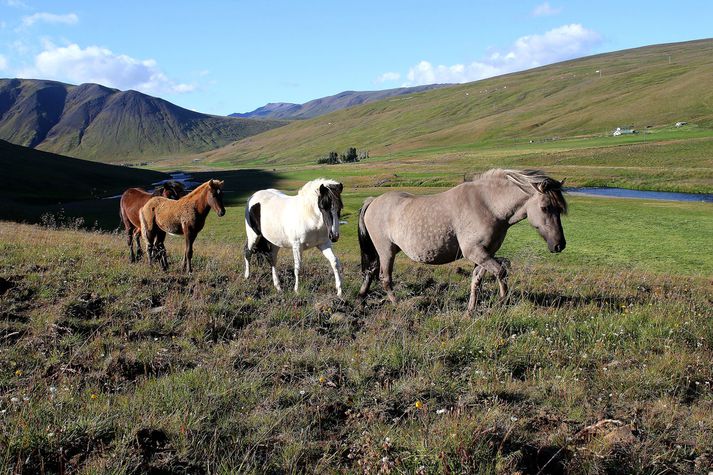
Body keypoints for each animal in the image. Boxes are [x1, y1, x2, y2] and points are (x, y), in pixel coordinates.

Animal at [356, 169, 568, 314]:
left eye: (559, 208)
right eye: (545, 207)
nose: (559, 245)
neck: (488, 205)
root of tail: (373, 201)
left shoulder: (484, 254)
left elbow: (477, 280)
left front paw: (470, 311)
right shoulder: (474, 251)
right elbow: (501, 272)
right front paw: (502, 301)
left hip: (383, 252)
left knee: (371, 271)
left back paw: (361, 299)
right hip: (386, 251)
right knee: (384, 278)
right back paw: (398, 304)